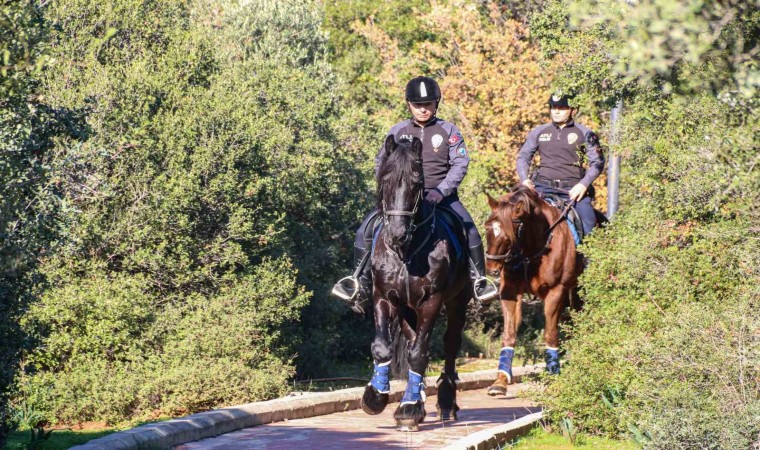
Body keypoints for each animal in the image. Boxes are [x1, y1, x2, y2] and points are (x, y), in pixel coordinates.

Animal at [356, 135, 470, 430]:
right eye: (385, 178)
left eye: (417, 183)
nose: (397, 234)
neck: (406, 253)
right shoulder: (384, 297)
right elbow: (383, 347)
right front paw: (375, 397)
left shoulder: (432, 301)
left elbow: (420, 353)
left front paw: (407, 409)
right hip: (408, 309)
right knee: (410, 341)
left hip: (457, 302)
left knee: (449, 344)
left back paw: (445, 402)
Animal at [480, 185, 580, 394]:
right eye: (487, 228)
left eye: (509, 233)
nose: (492, 268)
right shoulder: (509, 292)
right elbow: (509, 335)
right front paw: (500, 381)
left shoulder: (555, 292)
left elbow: (550, 335)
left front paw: (553, 375)